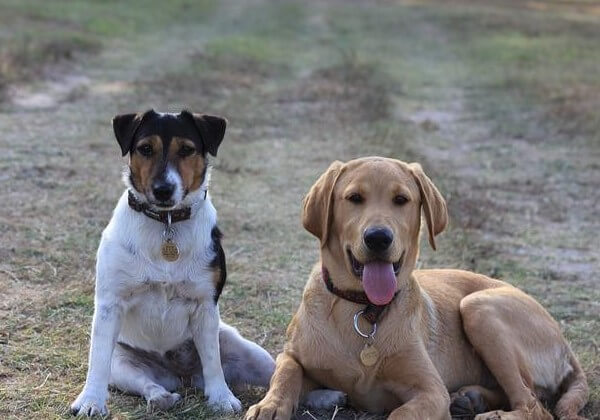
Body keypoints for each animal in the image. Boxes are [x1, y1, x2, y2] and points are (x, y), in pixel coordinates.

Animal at [70, 110, 274, 416]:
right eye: (145, 149)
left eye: (187, 150)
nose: (163, 190)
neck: (166, 223)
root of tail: (183, 375)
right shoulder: (109, 306)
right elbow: (98, 362)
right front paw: (90, 401)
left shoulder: (205, 307)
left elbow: (213, 362)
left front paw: (221, 398)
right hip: (123, 364)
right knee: (144, 382)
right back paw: (160, 397)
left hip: (250, 352)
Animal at [246, 157, 588, 420]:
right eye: (354, 198)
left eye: (401, 200)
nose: (378, 238)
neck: (364, 311)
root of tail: (565, 343)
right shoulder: (292, 354)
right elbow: (285, 371)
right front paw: (270, 405)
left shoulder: (430, 390)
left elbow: (402, 413)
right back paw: (472, 398)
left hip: (479, 308)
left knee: (534, 405)